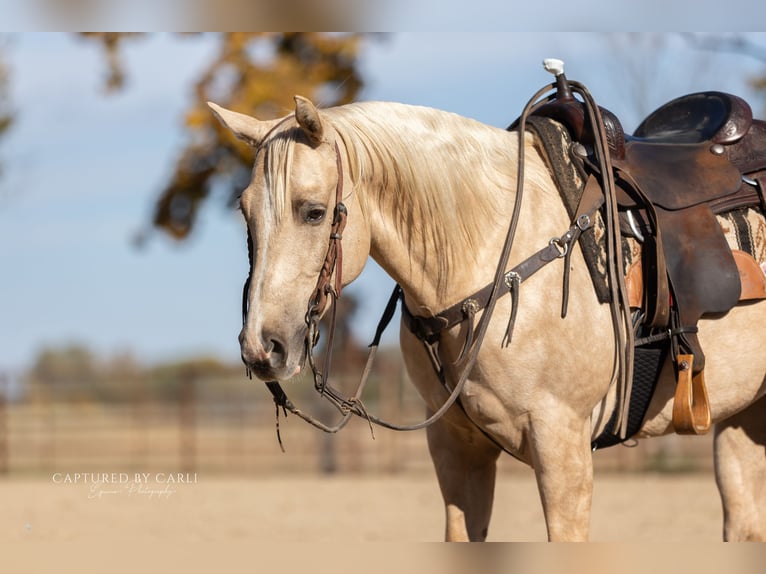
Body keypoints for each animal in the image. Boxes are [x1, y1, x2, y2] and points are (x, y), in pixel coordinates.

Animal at [208, 91, 766, 542]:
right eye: (244, 211)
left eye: (314, 211)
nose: (262, 348)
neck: (490, 250)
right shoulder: (457, 448)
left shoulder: (562, 444)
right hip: (742, 421)